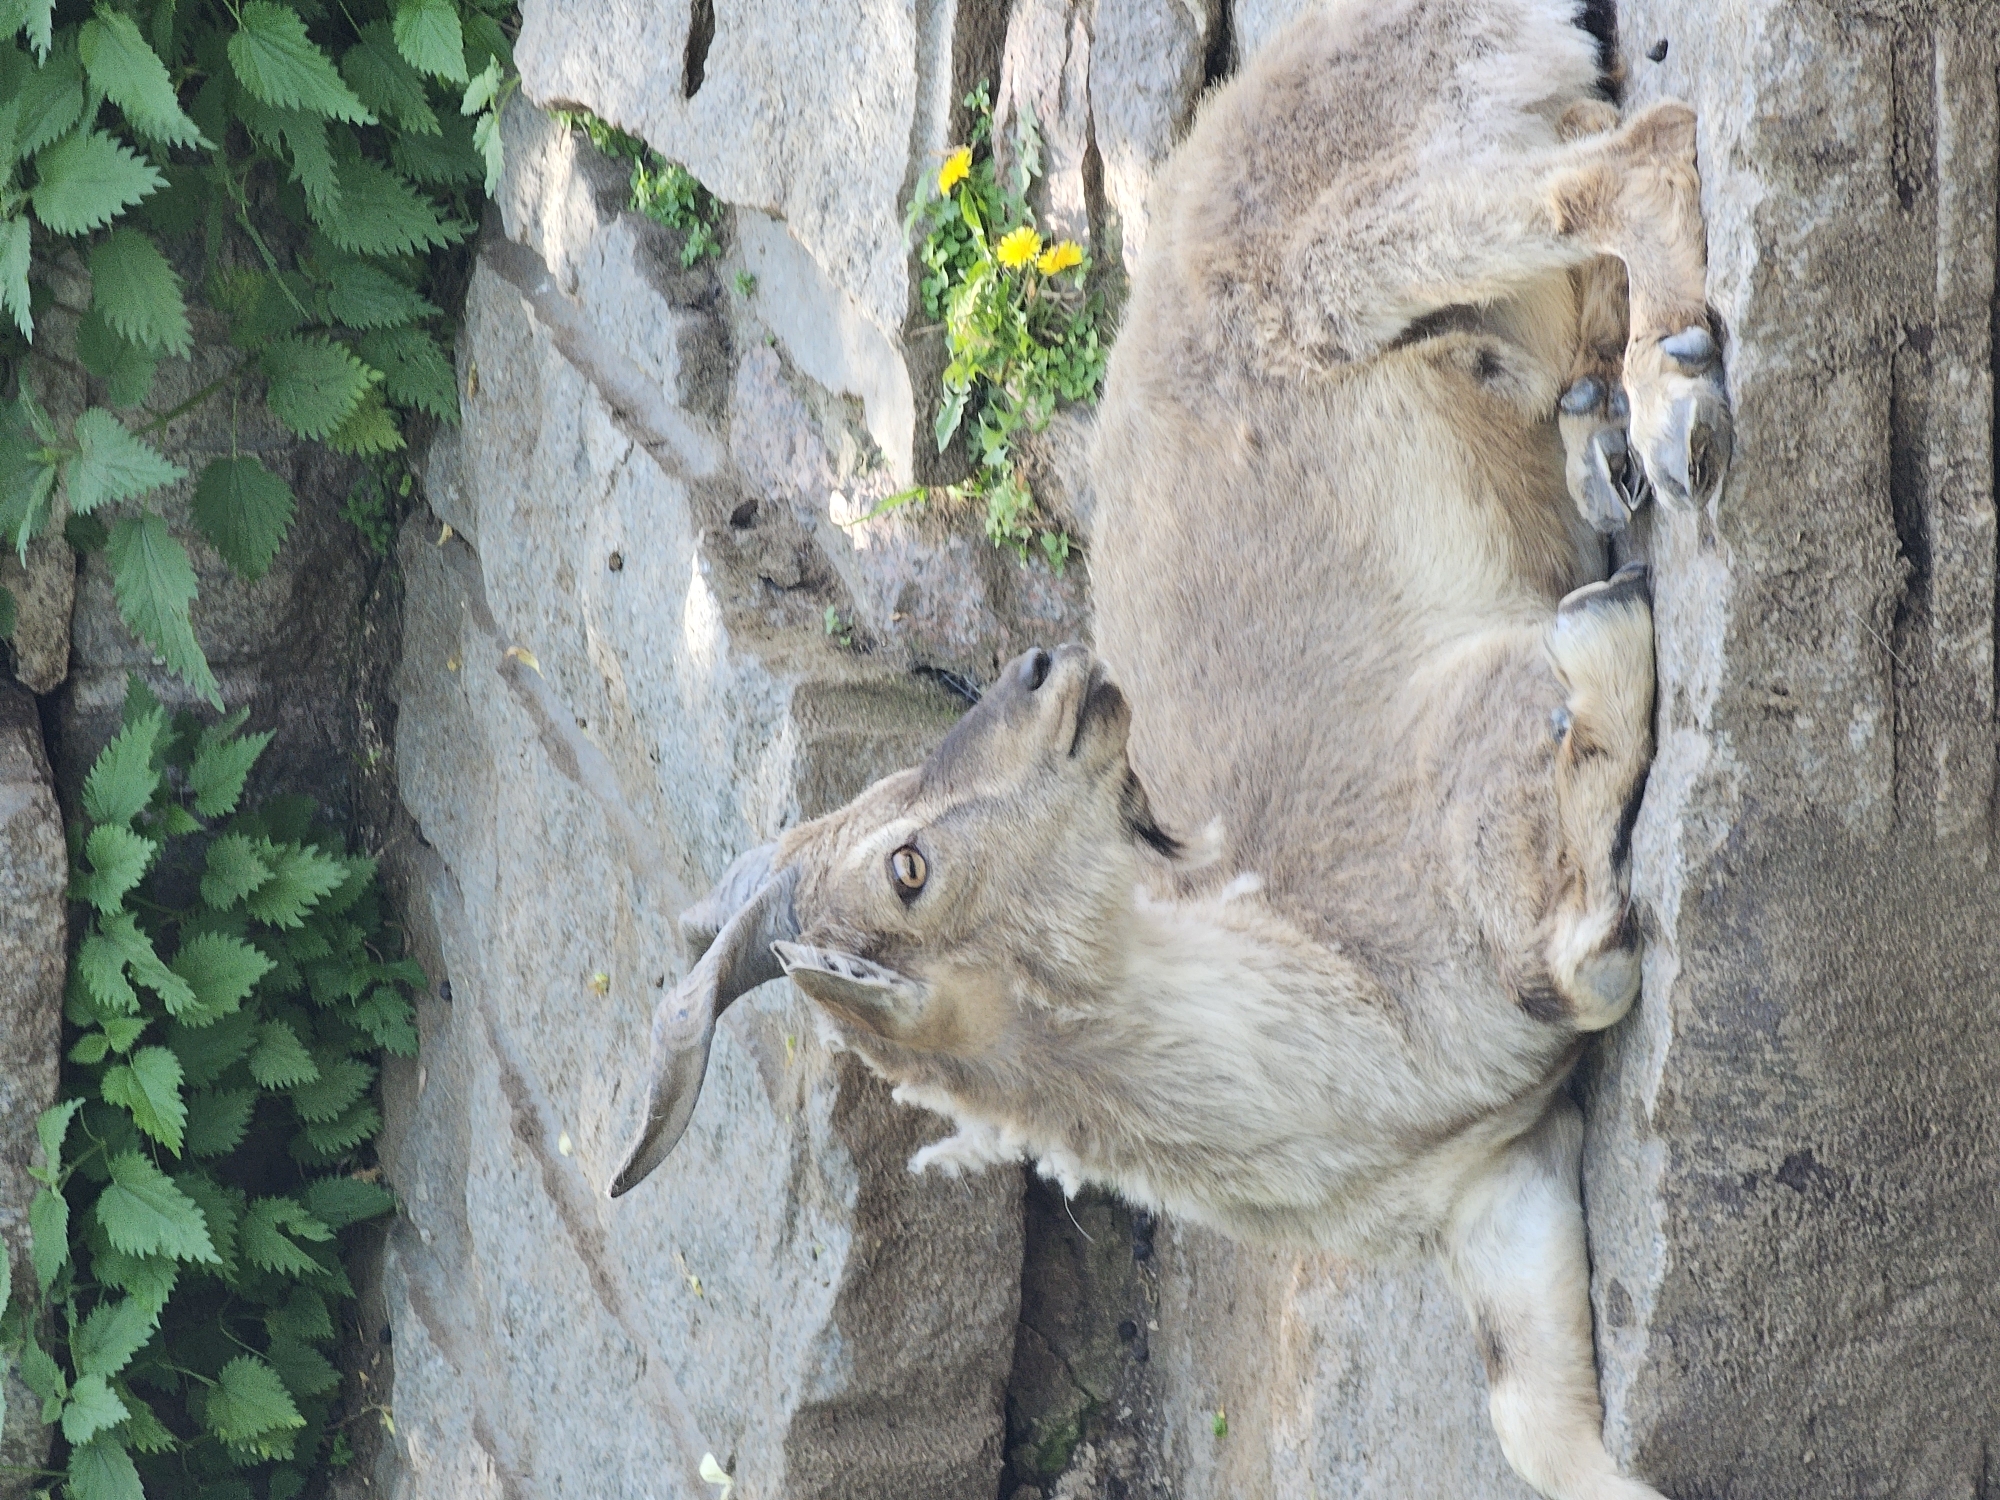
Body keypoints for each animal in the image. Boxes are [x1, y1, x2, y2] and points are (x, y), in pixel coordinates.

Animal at [610, 4, 1730, 1497]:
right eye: (907, 859)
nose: (1043, 670)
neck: (1319, 1008)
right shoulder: (1495, 1183)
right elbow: (1537, 1428)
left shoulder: (1474, 742)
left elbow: (1578, 952)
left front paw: (1611, 632)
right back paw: (1603, 429)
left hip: (1370, 230)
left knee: (1627, 155)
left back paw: (1672, 407)